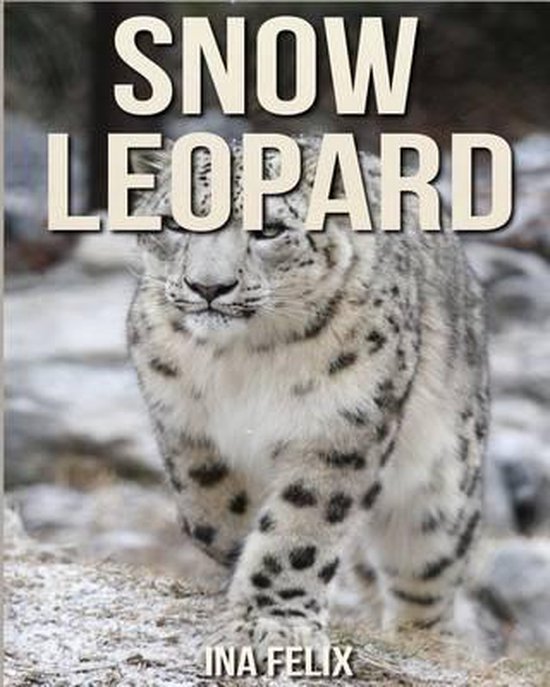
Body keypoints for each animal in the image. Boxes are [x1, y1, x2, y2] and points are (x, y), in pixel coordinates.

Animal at [127, 136, 489, 667]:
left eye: (270, 229)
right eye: (174, 221)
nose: (209, 286)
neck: (241, 359)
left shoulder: (343, 421)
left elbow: (301, 525)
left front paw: (272, 622)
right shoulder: (180, 420)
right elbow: (210, 511)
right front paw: (239, 573)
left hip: (444, 491)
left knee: (427, 579)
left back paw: (429, 641)